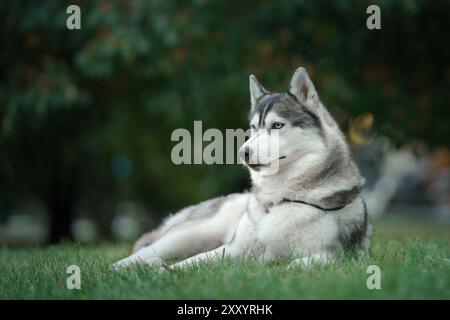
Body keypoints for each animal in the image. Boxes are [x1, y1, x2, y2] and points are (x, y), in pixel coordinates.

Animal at [112, 67, 372, 270]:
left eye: (277, 126)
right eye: (254, 127)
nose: (242, 153)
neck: (278, 200)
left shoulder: (336, 256)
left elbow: (300, 263)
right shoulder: (232, 250)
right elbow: (192, 262)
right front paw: (165, 272)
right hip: (193, 233)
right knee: (149, 251)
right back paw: (123, 267)